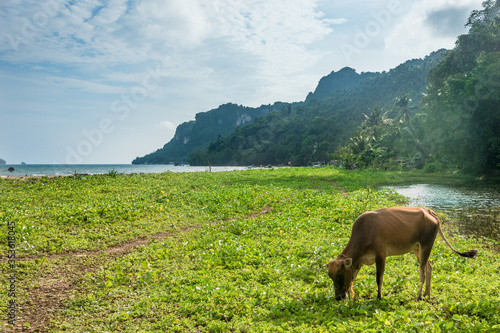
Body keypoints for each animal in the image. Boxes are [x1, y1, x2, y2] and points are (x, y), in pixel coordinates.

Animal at [324, 206, 476, 300]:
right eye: (330, 276)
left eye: (339, 275)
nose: (338, 298)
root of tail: (429, 211)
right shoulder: (359, 261)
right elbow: (353, 278)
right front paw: (352, 296)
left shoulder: (381, 255)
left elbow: (379, 278)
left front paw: (379, 297)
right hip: (417, 248)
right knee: (429, 267)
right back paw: (427, 294)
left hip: (426, 245)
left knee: (423, 272)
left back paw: (419, 297)